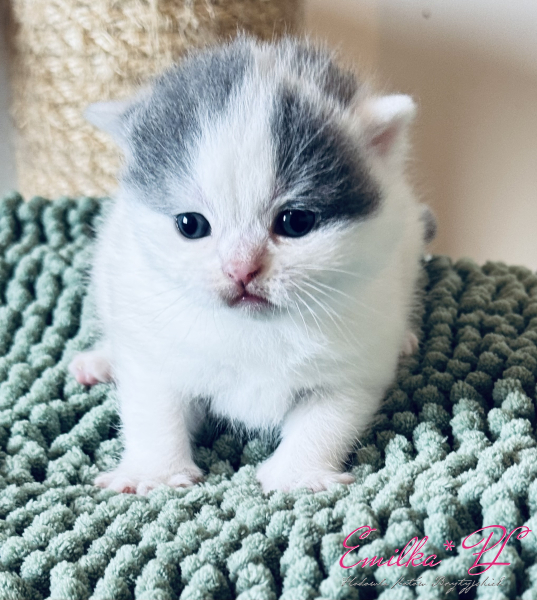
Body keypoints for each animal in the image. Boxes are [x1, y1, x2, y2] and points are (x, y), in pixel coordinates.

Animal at [69, 36, 432, 494]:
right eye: (191, 225)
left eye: (295, 222)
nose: (241, 270)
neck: (255, 329)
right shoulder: (154, 347)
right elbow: (155, 408)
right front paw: (154, 473)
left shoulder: (355, 361)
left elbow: (327, 419)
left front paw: (299, 474)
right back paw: (100, 359)